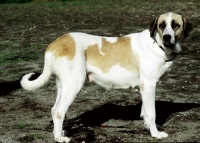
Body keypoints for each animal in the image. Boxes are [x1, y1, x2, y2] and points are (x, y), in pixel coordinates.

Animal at [21, 12, 193, 142]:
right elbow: (152, 113)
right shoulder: (149, 85)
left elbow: (145, 111)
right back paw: (59, 138)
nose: (167, 37)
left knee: (54, 109)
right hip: (74, 84)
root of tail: (56, 43)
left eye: (175, 25)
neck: (157, 44)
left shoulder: (144, 88)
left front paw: (148, 127)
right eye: (162, 25)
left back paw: (60, 132)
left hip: (63, 86)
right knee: (58, 111)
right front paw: (155, 134)